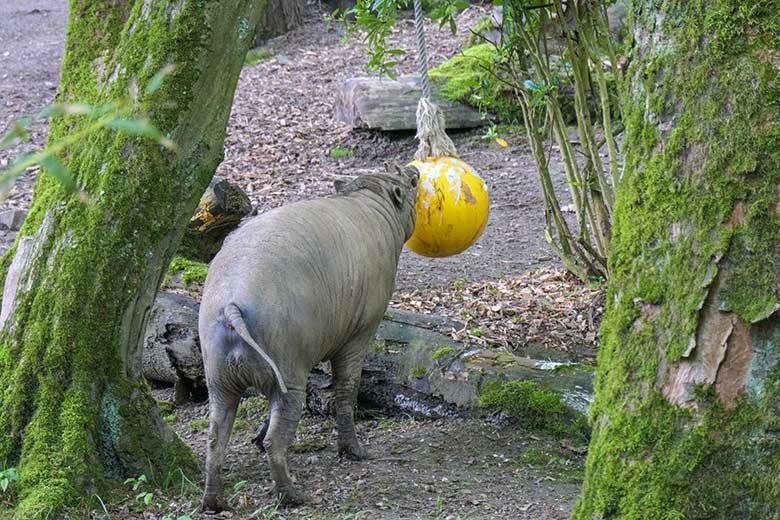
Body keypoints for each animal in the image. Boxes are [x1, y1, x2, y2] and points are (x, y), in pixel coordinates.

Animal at [201, 165, 420, 510]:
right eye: (407, 181)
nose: (414, 170)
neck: (370, 198)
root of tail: (232, 305)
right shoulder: (360, 333)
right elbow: (345, 388)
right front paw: (355, 451)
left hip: (219, 378)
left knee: (213, 438)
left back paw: (214, 502)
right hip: (289, 373)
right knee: (275, 440)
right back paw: (291, 495)